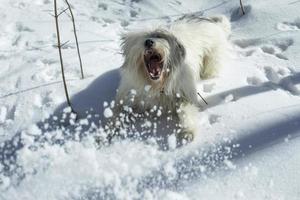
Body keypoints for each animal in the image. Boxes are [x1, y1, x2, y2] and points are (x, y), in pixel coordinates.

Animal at [114, 14, 230, 142]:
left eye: (159, 36)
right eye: (145, 36)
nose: (149, 42)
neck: (157, 85)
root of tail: (212, 21)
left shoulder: (184, 94)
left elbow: (186, 110)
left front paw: (188, 131)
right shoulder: (131, 94)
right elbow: (118, 111)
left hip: (211, 58)